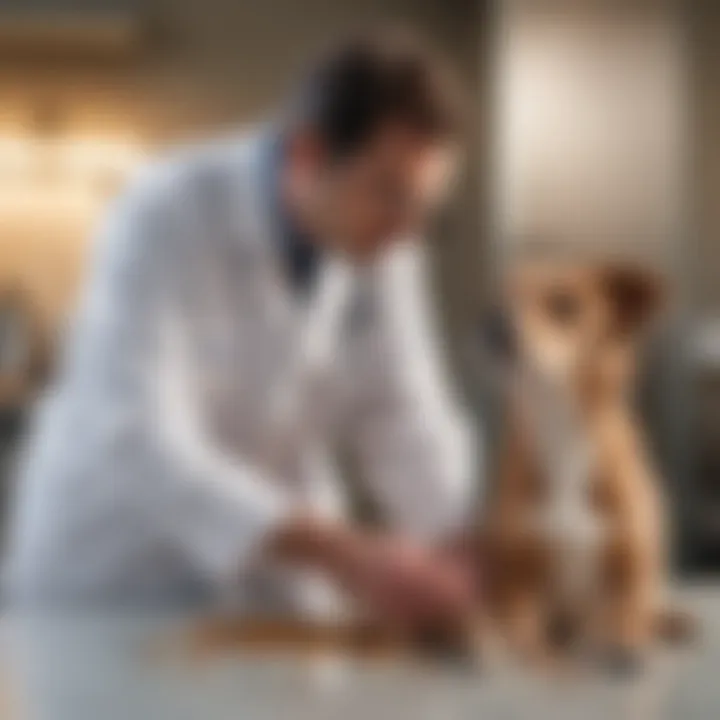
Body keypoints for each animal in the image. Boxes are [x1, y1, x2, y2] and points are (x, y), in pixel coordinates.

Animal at [480, 258, 696, 676]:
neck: (560, 425)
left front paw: (626, 647)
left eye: (565, 304)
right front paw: (523, 652)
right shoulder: (518, 573)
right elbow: (522, 627)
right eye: (500, 298)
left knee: (648, 611)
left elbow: (626, 613)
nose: (492, 325)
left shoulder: (630, 559)